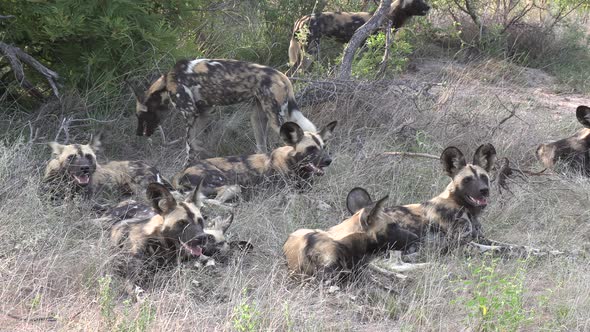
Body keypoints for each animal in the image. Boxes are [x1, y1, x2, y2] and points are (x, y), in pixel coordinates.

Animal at [132, 59, 322, 165]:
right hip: (257, 118)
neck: (166, 82)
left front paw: (186, 167)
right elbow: (196, 143)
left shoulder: (191, 113)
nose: (138, 133)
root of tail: (281, 75)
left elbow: (188, 146)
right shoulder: (202, 113)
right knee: (263, 146)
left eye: (140, 116)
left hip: (276, 121)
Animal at [171, 120, 338, 204]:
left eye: (324, 147)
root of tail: (182, 171)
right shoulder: (282, 195)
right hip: (232, 186)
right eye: (311, 149)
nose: (329, 160)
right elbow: (313, 199)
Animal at [286, 0, 430, 74]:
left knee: (289, 72)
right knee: (299, 71)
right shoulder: (369, 48)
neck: (389, 16)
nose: (429, 6)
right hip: (311, 51)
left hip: (302, 52)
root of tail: (301, 18)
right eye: (417, 0)